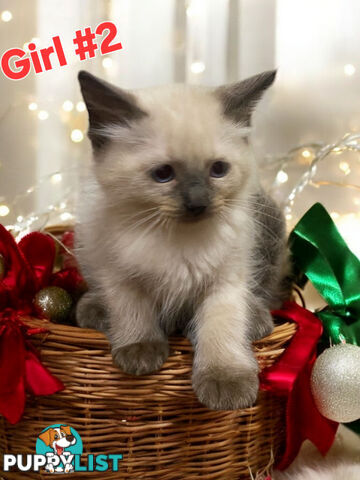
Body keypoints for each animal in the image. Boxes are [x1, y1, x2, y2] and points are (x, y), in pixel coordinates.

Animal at [76, 69, 290, 410]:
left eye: (218, 169)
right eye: (163, 174)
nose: (198, 203)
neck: (179, 240)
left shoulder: (224, 281)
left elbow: (221, 326)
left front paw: (226, 382)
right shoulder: (120, 272)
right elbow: (132, 310)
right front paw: (140, 351)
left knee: (263, 296)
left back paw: (257, 319)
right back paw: (93, 310)